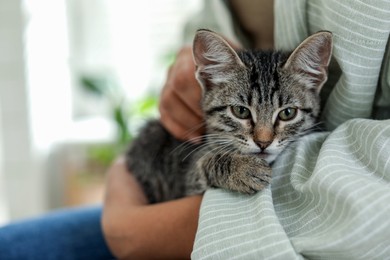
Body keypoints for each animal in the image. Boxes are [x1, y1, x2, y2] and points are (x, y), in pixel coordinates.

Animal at [125, 28, 332, 203]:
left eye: (287, 113)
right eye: (241, 111)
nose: (263, 143)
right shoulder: (188, 182)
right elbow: (204, 163)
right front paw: (243, 169)